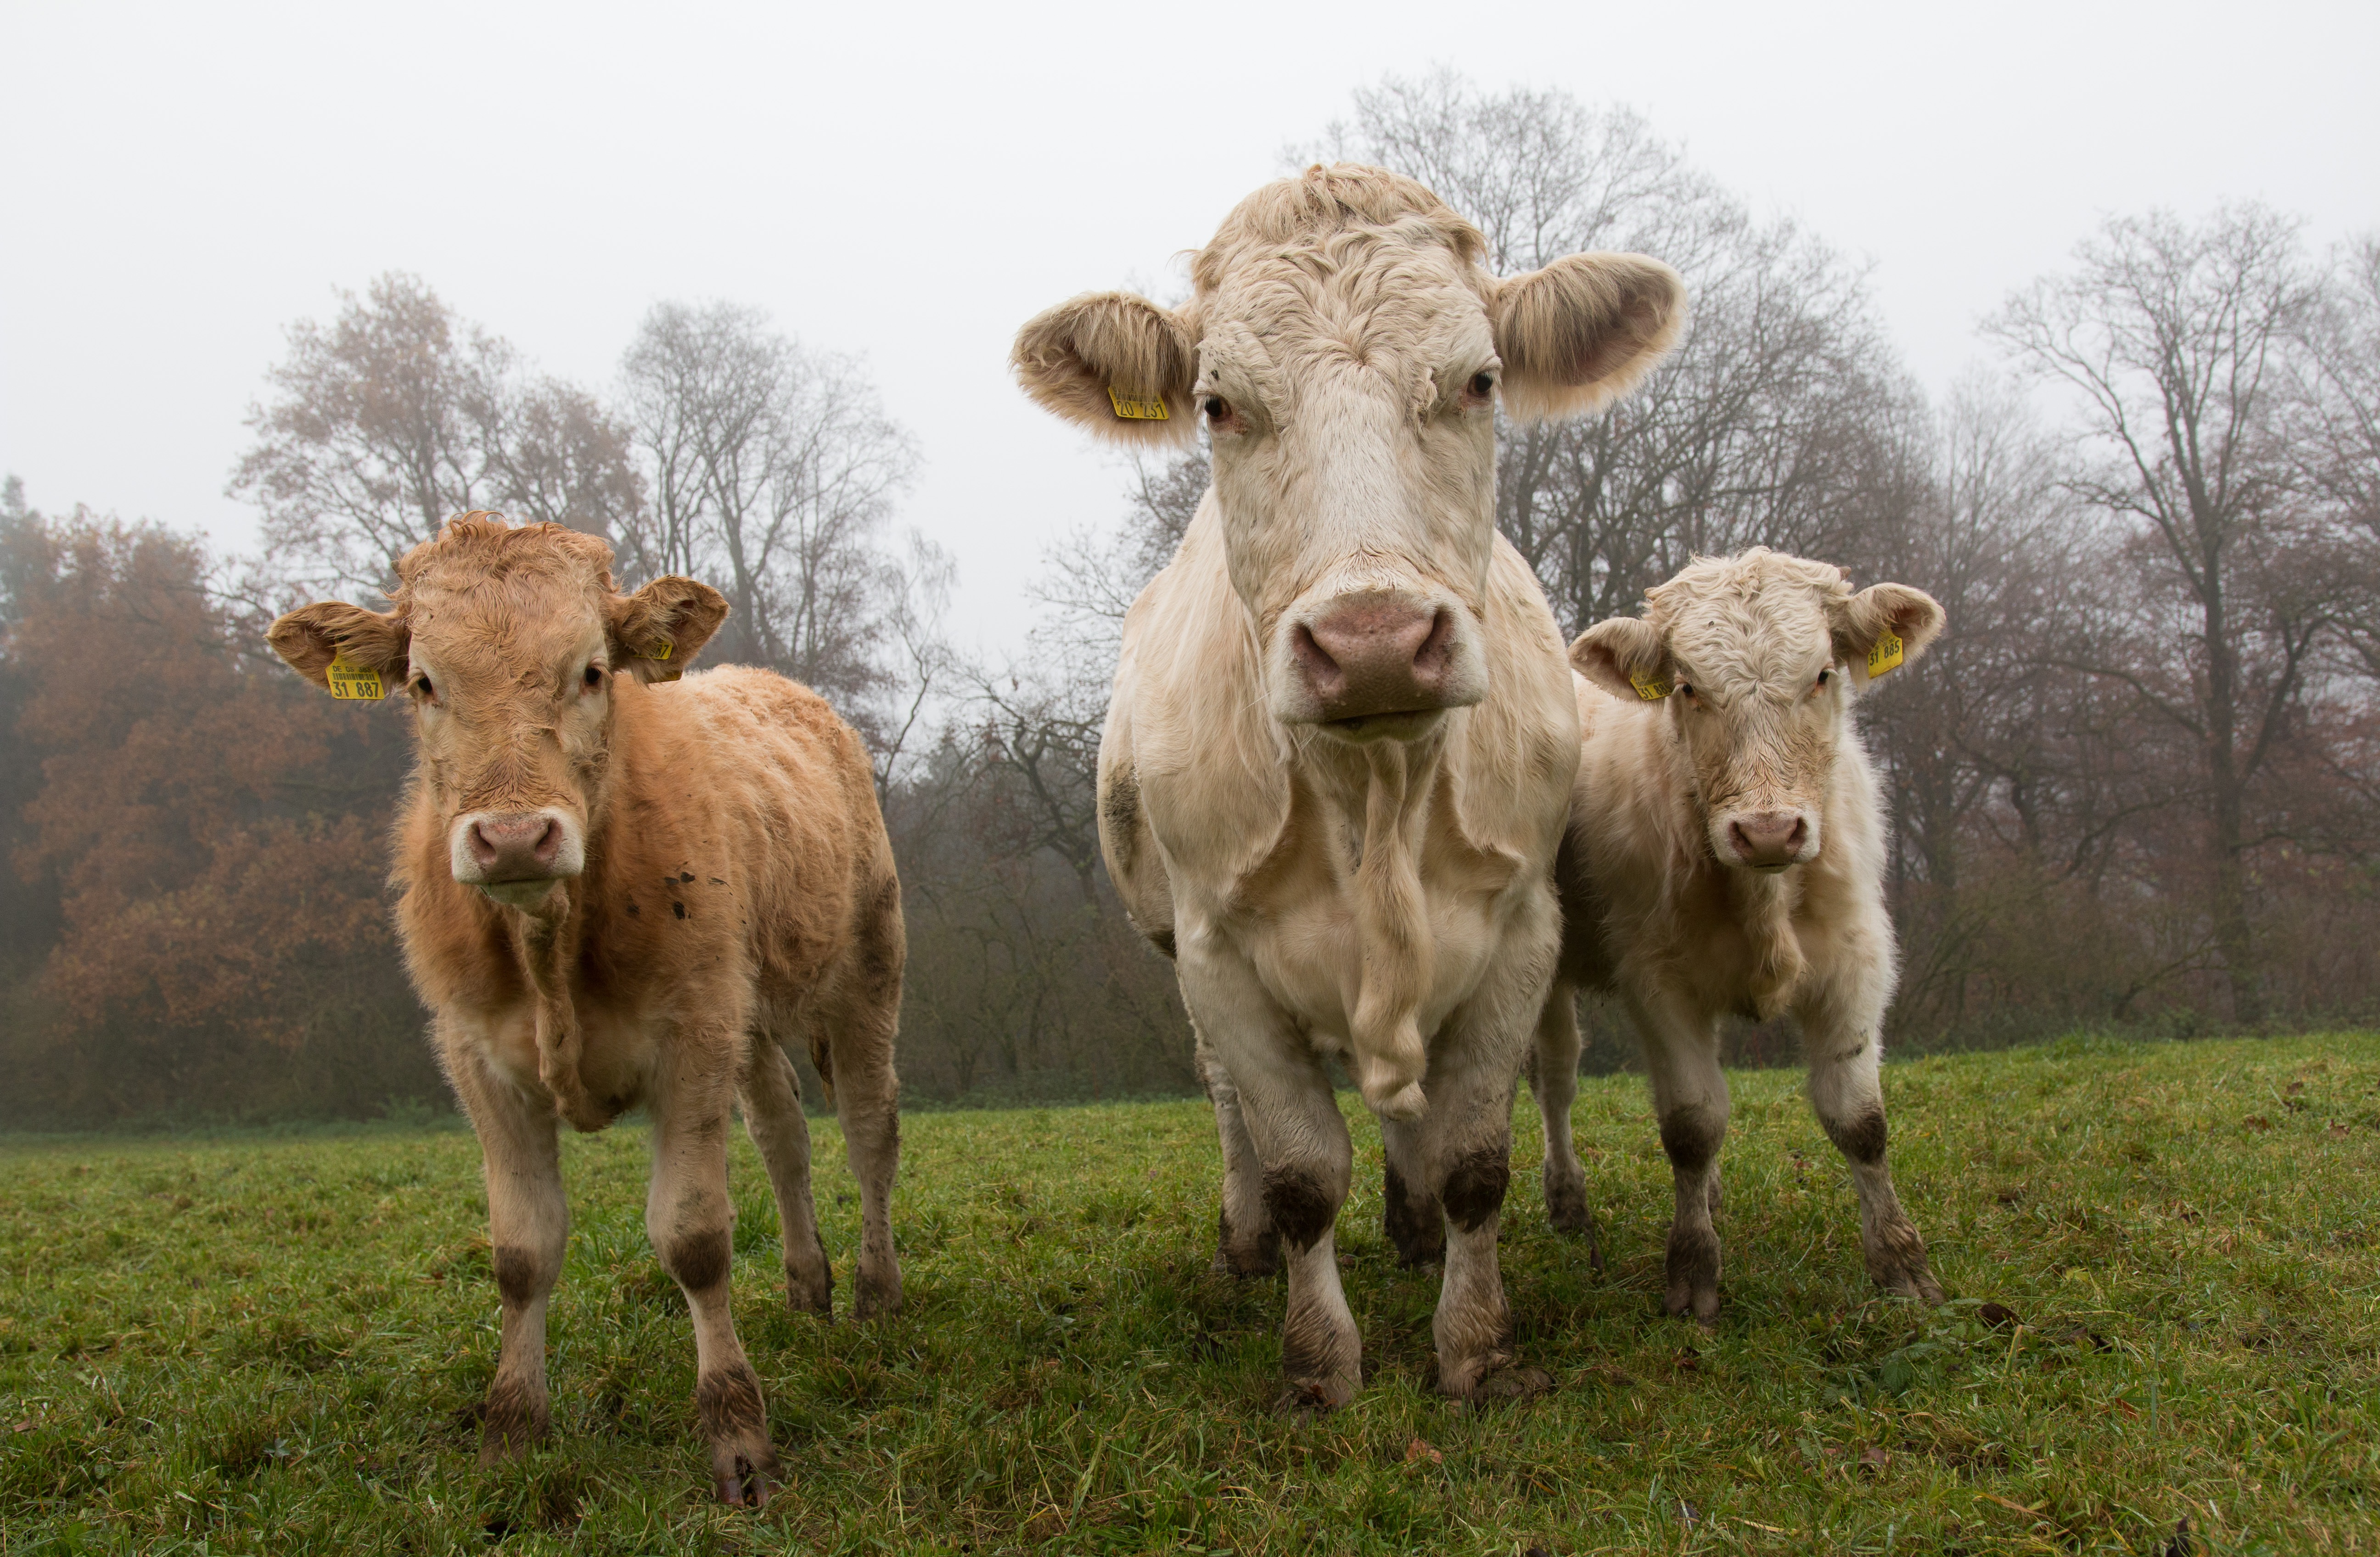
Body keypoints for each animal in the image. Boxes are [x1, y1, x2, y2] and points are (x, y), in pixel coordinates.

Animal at [266, 513, 903, 1505]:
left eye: (593, 670)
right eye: (423, 681)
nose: (514, 838)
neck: (550, 948)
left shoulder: (690, 1038)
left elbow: (694, 1238)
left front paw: (738, 1437)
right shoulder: (481, 1060)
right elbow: (521, 1251)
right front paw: (510, 1431)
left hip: (865, 965)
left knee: (871, 1129)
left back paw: (875, 1292)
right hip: (750, 1013)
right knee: (784, 1136)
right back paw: (808, 1287)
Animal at [1011, 165, 1684, 1407]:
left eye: (1480, 381)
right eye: (1218, 405)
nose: (1372, 643)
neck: (1372, 792)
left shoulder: (1520, 925)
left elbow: (1473, 1157)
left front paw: (1474, 1347)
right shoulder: (1217, 951)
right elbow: (1298, 1173)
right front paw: (1320, 1363)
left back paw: (1412, 1229)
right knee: (1227, 1102)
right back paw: (1240, 1251)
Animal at [1520, 547, 1947, 1323]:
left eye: (1823, 674)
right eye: (1689, 687)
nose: (1769, 830)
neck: (1763, 896)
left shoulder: (1856, 959)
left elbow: (1860, 1120)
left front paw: (1903, 1266)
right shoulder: (1658, 979)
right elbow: (1692, 1126)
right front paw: (1693, 1272)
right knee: (1556, 1079)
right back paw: (1567, 1202)